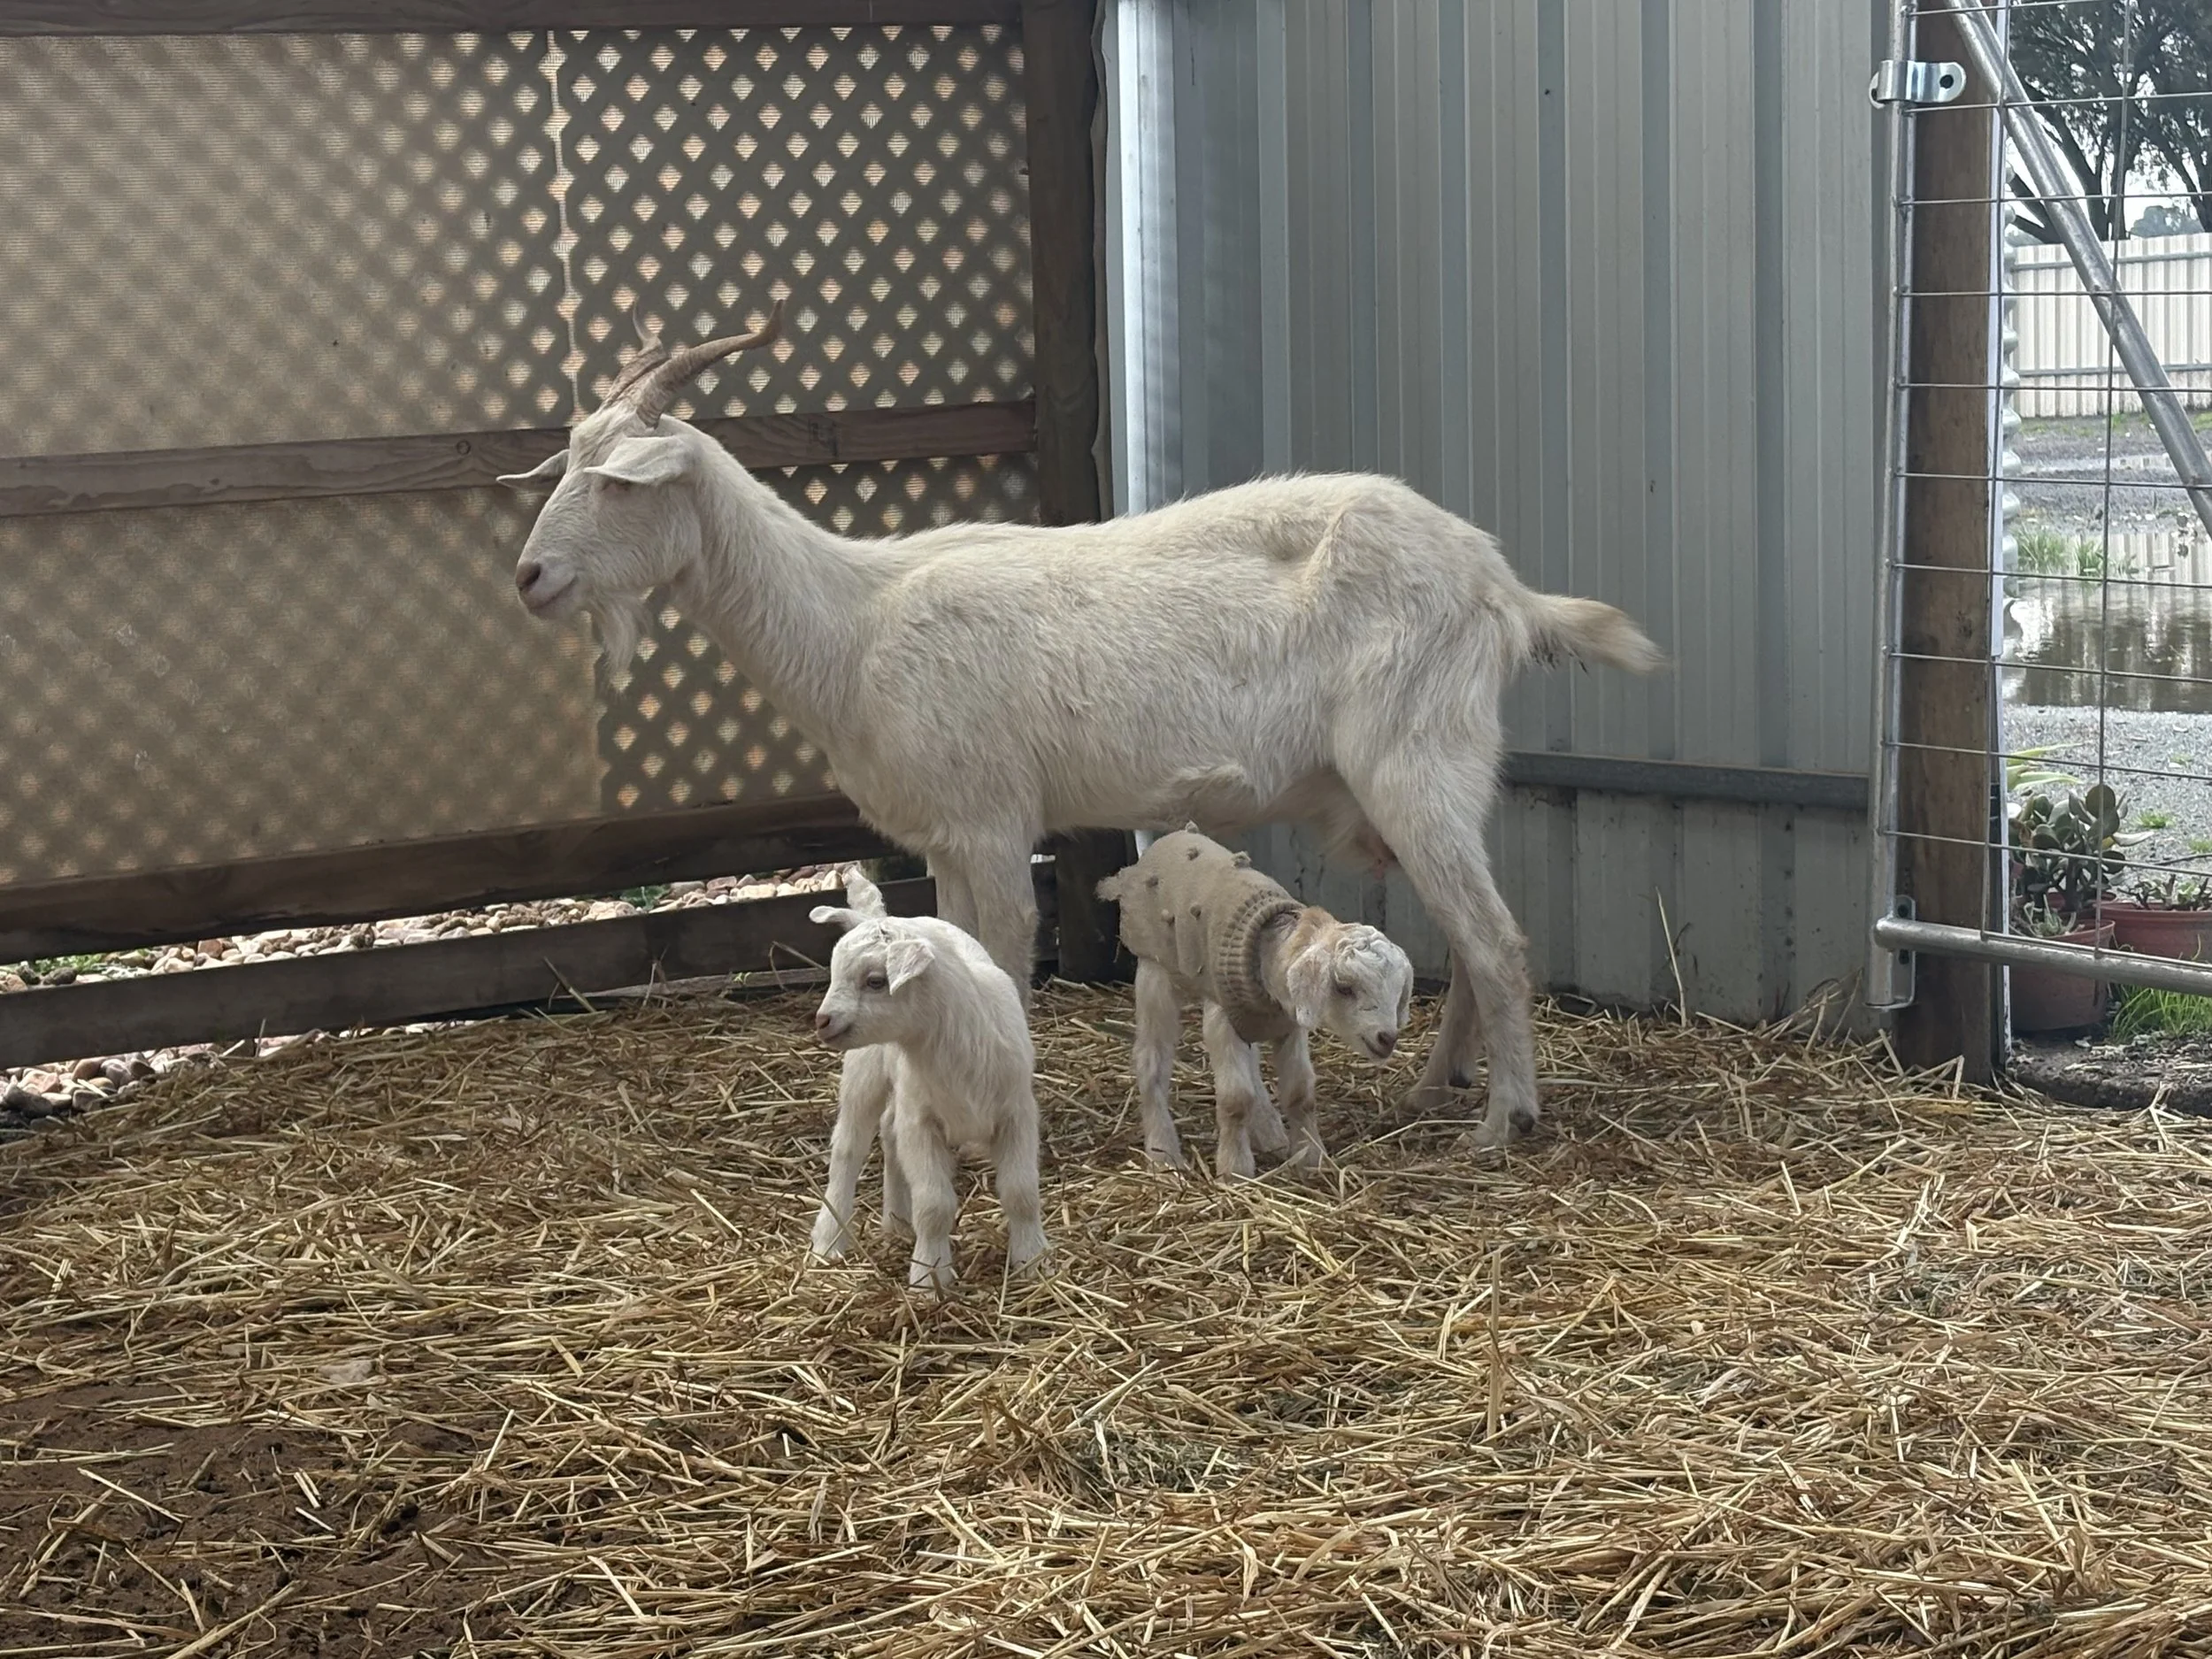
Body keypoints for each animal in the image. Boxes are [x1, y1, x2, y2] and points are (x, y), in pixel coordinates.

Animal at [807, 868, 1046, 1297]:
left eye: (875, 981)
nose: (823, 1020)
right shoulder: (922, 1122)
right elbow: (934, 1205)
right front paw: (928, 1277)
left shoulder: (1017, 1113)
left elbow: (1021, 1191)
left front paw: (1032, 1260)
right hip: (865, 1069)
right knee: (848, 1149)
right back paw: (829, 1239)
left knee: (888, 1131)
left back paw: (897, 1221)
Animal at [1098, 826, 1414, 1177]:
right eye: (1344, 988)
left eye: (1399, 991)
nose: (1387, 1038)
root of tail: (1170, 838)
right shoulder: (1223, 1017)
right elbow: (1236, 1099)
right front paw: (1234, 1169)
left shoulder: (1288, 1023)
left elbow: (1300, 1093)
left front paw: (1310, 1157)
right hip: (1154, 970)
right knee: (1151, 1060)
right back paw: (1162, 1152)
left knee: (1250, 1065)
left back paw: (1269, 1131)